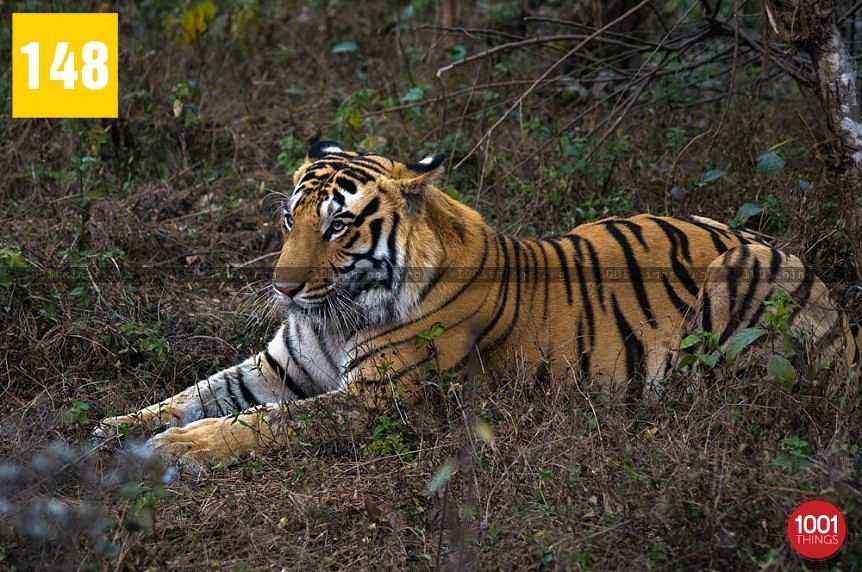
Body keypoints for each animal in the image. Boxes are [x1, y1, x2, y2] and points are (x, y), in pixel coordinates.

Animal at [91, 141, 860, 466]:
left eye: (337, 225)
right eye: (290, 219)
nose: (282, 287)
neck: (338, 311)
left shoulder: (377, 403)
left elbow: (263, 424)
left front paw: (177, 450)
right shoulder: (278, 368)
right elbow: (196, 393)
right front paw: (106, 430)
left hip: (741, 275)